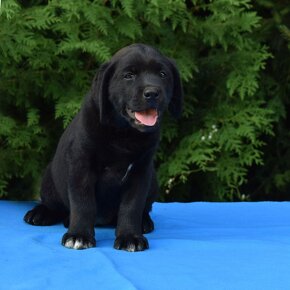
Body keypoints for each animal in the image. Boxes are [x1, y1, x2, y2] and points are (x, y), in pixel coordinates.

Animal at [25, 43, 184, 251]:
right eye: (129, 75)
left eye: (163, 74)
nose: (152, 93)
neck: (123, 133)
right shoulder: (81, 166)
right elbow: (83, 204)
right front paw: (79, 235)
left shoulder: (141, 172)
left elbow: (131, 206)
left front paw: (130, 236)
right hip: (50, 178)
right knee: (53, 203)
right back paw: (41, 213)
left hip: (153, 181)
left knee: (144, 208)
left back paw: (144, 222)